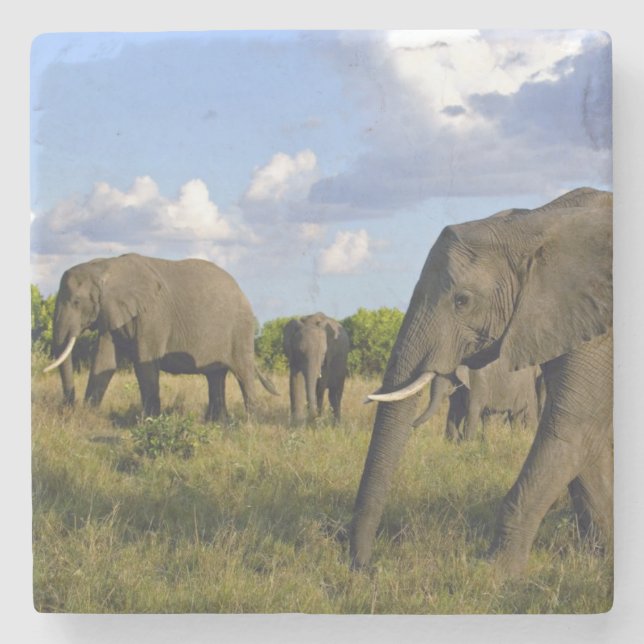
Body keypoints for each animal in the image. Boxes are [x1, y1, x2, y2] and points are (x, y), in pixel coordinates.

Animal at [44, 253, 278, 421]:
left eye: (76, 302)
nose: (67, 407)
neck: (106, 266)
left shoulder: (153, 315)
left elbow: (144, 362)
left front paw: (148, 421)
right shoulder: (112, 313)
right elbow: (104, 362)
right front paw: (87, 416)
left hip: (241, 329)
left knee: (243, 373)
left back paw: (249, 423)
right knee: (215, 375)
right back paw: (217, 422)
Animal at [413, 361, 543, 440]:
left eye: (448, 377)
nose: (412, 425)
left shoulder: (477, 382)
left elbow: (472, 411)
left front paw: (467, 444)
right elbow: (456, 411)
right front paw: (454, 441)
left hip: (524, 387)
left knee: (518, 415)